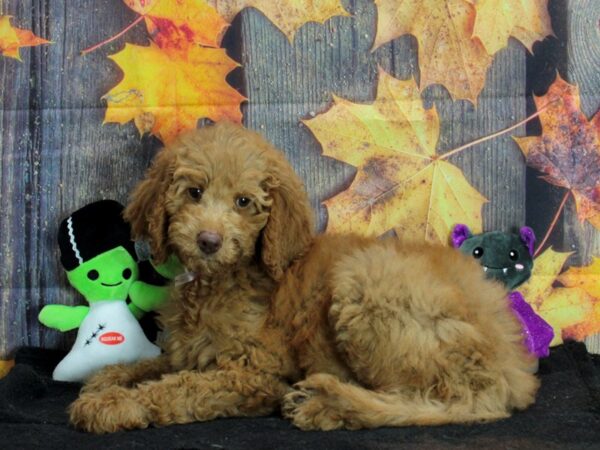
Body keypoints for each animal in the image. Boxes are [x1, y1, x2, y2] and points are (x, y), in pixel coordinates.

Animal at [70, 122, 540, 432]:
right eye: (194, 193)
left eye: (243, 202)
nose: (208, 240)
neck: (219, 281)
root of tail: (511, 362)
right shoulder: (190, 351)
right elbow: (156, 364)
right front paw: (109, 378)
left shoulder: (255, 374)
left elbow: (178, 389)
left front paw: (112, 403)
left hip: (364, 284)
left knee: (451, 403)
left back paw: (326, 402)